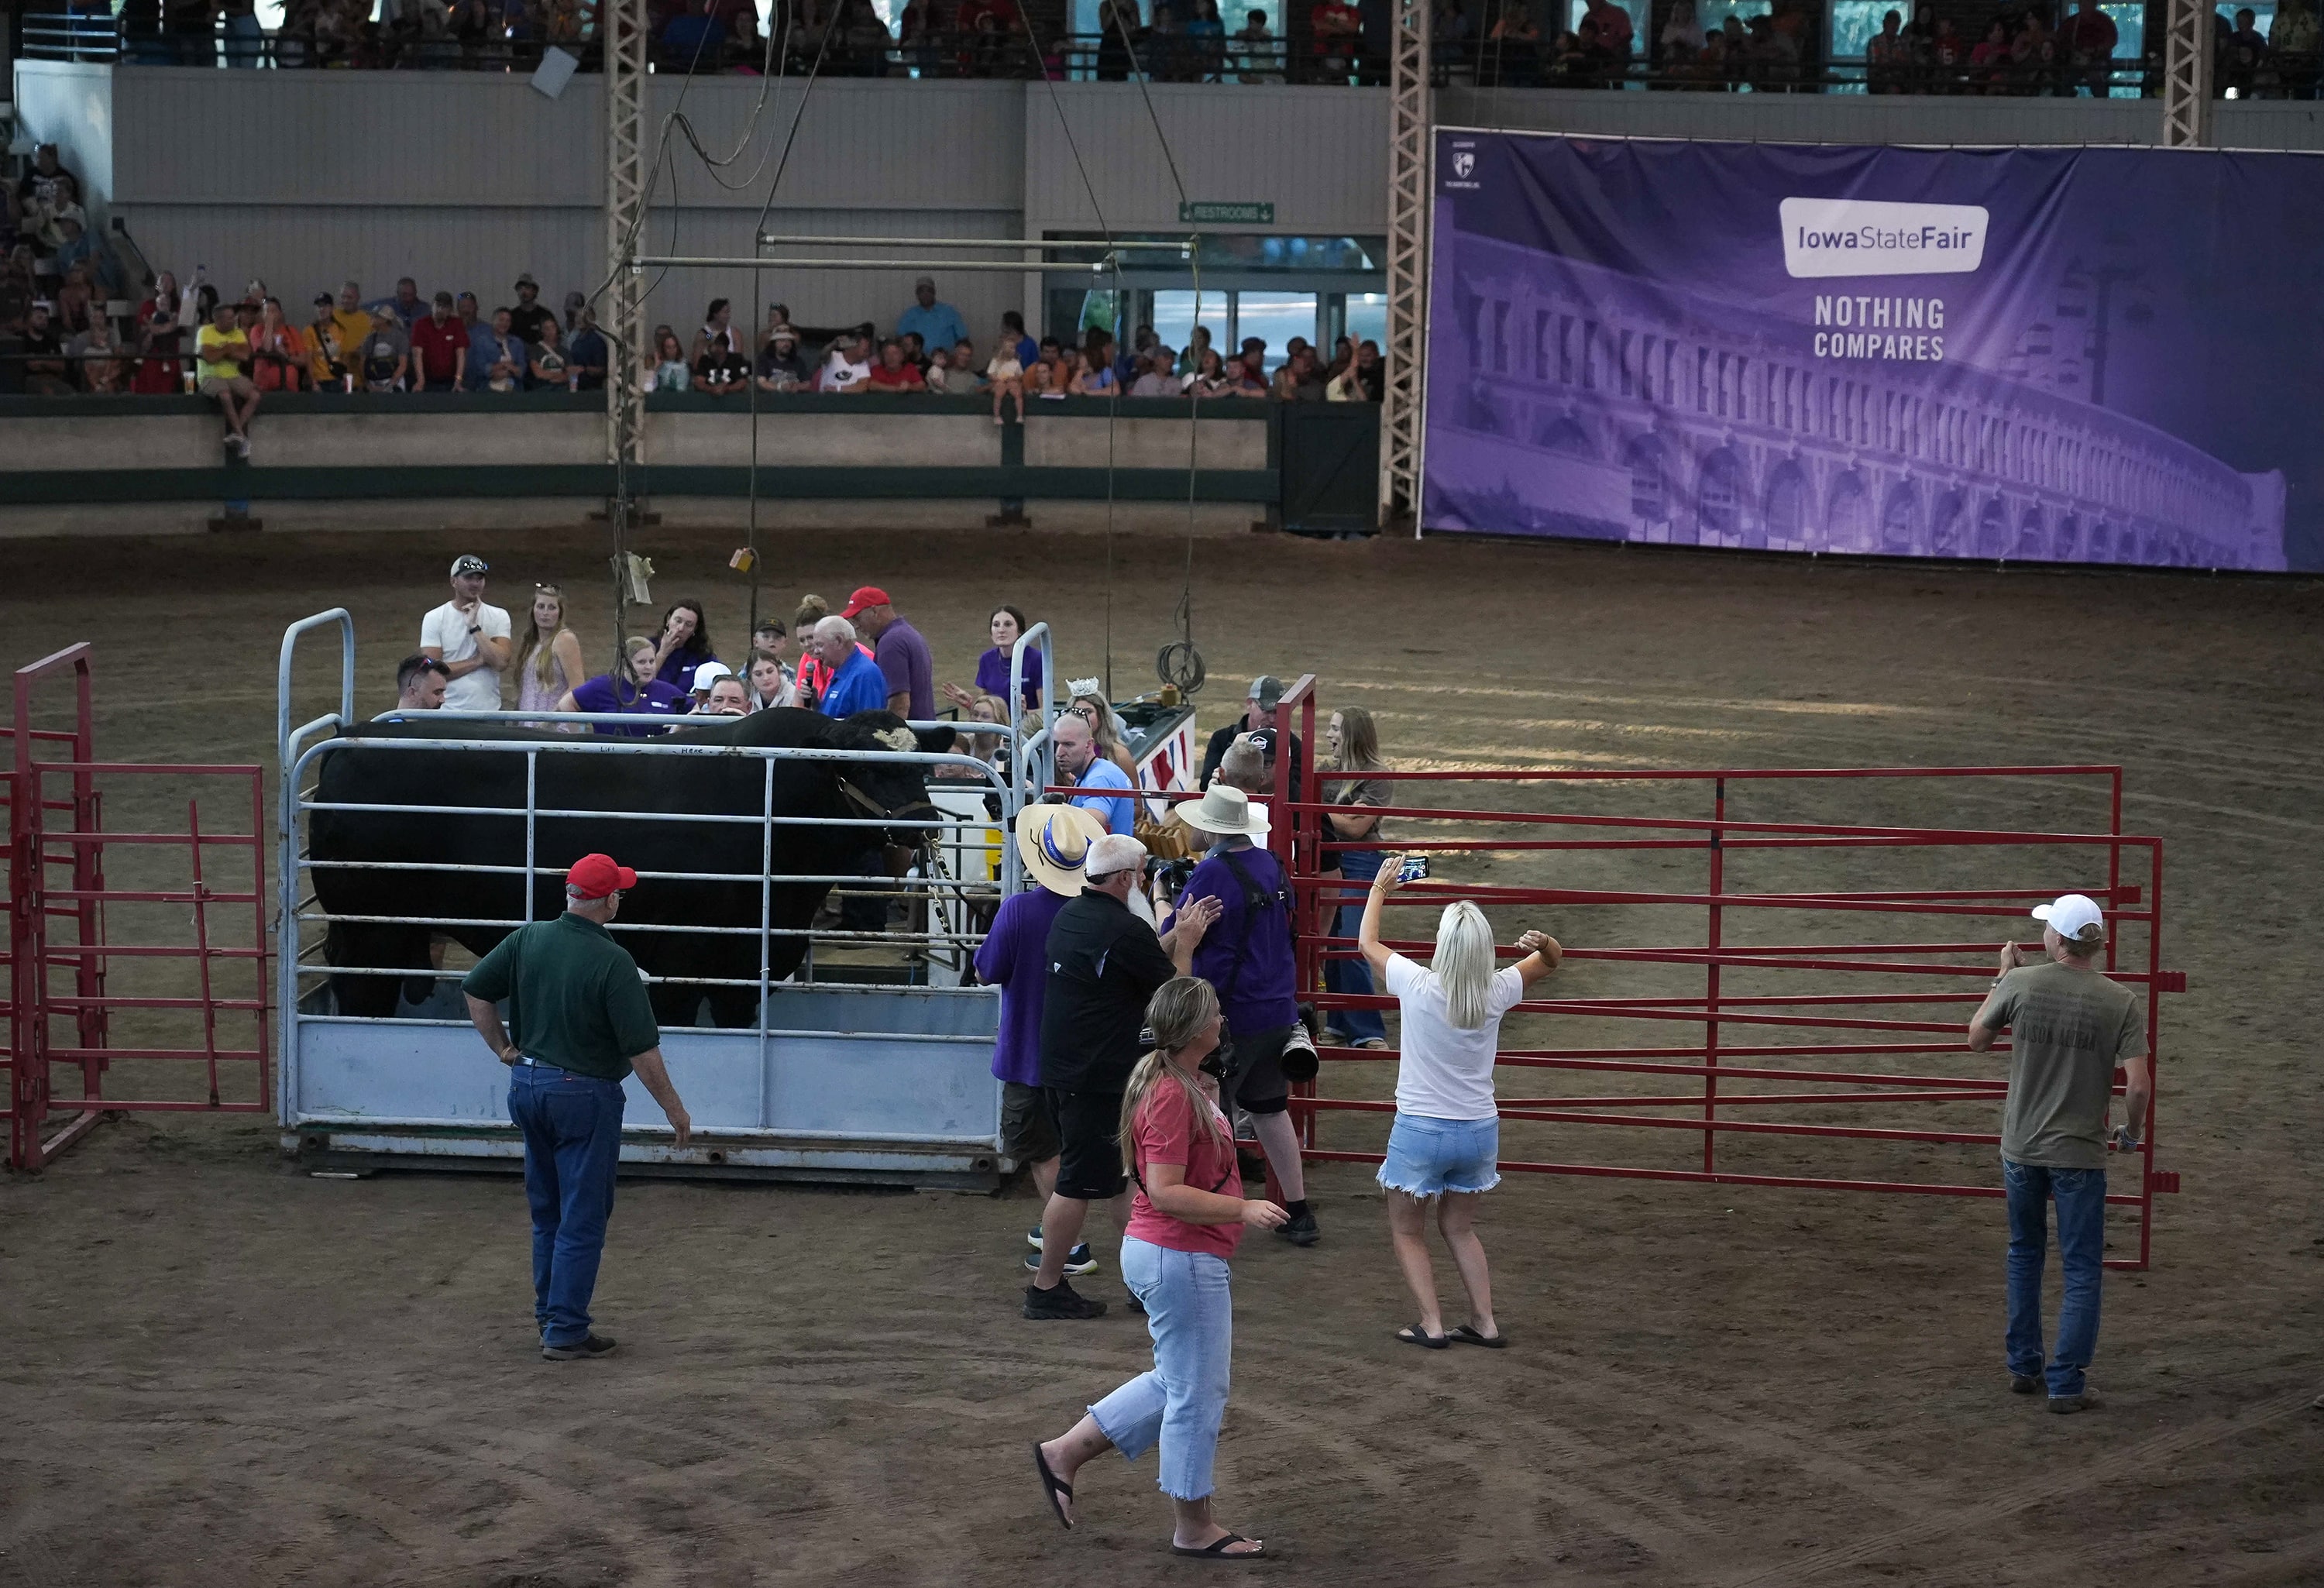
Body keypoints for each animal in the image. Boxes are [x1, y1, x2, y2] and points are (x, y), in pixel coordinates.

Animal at [314, 706, 957, 1032]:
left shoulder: (743, 968)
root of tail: (348, 742)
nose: (924, 821)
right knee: (361, 990)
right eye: (868, 767)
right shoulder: (680, 960)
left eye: (922, 764)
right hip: (369, 924)